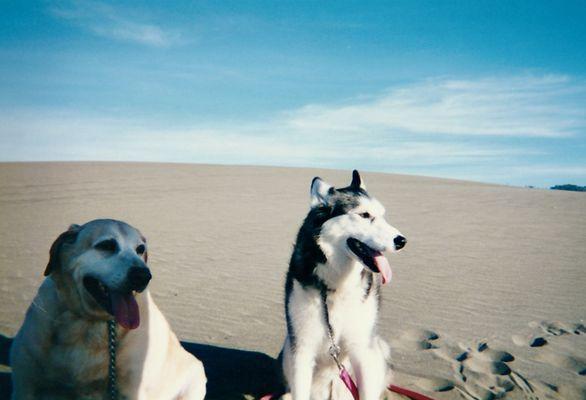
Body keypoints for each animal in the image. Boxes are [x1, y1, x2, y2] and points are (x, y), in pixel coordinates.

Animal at [280, 171, 404, 400]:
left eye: (383, 215)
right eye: (364, 215)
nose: (401, 241)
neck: (337, 284)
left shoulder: (362, 350)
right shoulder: (301, 350)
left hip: (377, 348)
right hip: (288, 349)